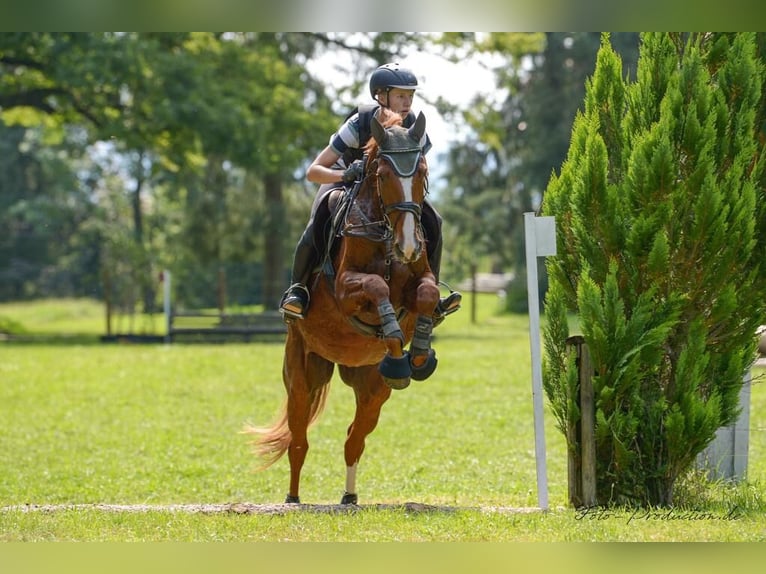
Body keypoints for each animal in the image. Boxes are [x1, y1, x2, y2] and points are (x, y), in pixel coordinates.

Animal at [250, 108, 440, 504]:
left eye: (422, 171)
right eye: (382, 175)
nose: (408, 246)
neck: (384, 231)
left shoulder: (421, 280)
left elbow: (427, 296)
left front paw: (418, 353)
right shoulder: (345, 289)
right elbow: (377, 286)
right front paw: (395, 336)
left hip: (371, 385)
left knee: (355, 438)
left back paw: (350, 496)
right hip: (302, 371)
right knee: (298, 440)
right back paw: (293, 499)